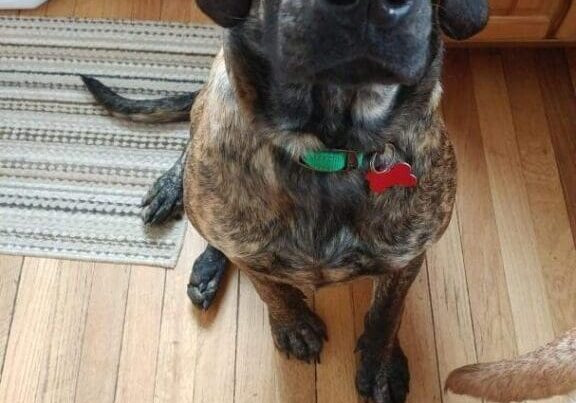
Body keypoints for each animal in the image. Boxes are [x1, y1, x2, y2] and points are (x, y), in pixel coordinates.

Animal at [83, 1, 488, 402]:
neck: (329, 151)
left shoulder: (407, 256)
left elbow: (388, 311)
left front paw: (381, 365)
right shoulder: (250, 254)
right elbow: (271, 289)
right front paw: (294, 326)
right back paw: (180, 207)